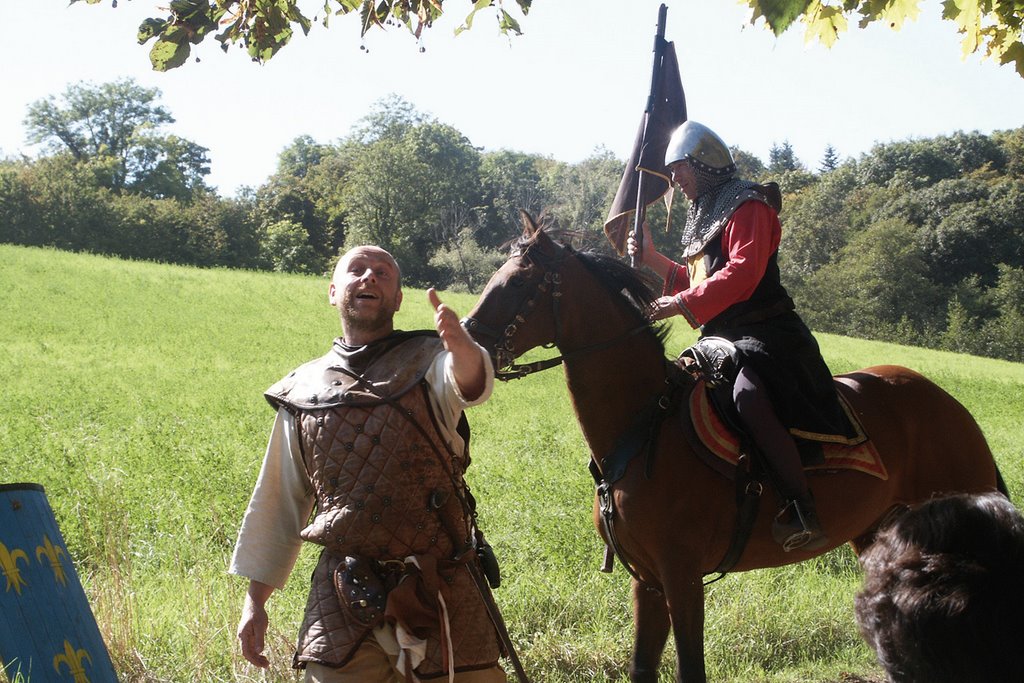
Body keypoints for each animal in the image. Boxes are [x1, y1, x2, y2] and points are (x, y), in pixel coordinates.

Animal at [466, 218, 1007, 683]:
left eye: (518, 283)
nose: (469, 346)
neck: (645, 426)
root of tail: (952, 407)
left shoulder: (682, 579)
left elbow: (691, 669)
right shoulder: (649, 581)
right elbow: (642, 667)